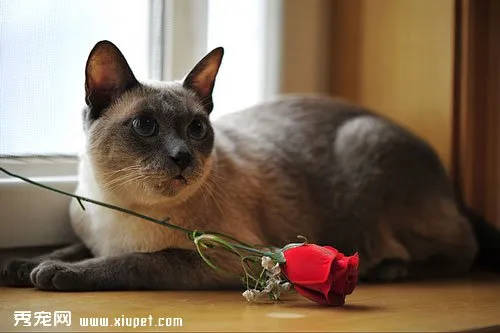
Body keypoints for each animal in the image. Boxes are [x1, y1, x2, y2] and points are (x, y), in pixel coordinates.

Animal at [0, 39, 500, 290]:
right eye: (145, 125)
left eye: (196, 129)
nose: (183, 157)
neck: (121, 207)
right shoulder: (92, 236)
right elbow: (73, 248)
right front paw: (22, 267)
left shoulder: (229, 257)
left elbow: (133, 262)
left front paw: (54, 275)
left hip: (366, 145)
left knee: (461, 249)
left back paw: (388, 270)